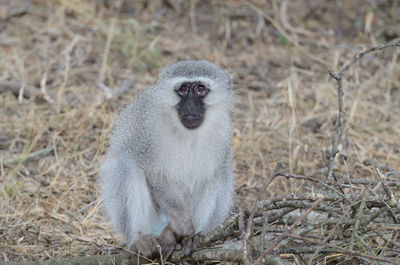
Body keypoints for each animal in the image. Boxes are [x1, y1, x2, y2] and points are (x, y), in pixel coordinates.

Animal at [101, 59, 234, 256]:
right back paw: (141, 240)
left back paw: (185, 237)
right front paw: (182, 222)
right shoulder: (148, 128)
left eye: (200, 88)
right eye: (184, 88)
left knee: (220, 172)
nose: (190, 106)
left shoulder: (223, 133)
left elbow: (205, 177)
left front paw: (186, 234)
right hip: (152, 219)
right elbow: (154, 174)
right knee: (128, 163)